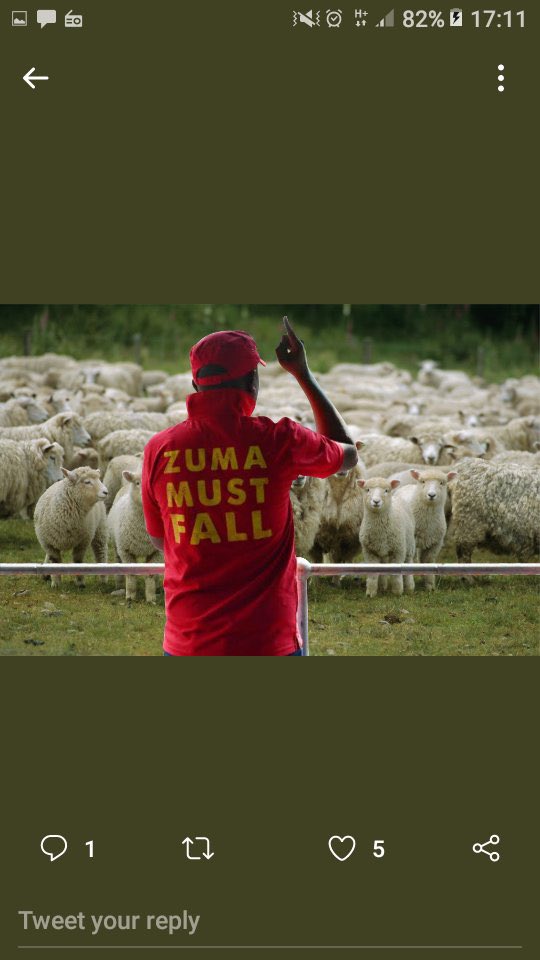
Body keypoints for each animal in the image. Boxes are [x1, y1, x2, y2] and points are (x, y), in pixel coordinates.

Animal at [108, 469, 160, 603]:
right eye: (137, 483)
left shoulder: (156, 552)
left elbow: (151, 575)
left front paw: (151, 598)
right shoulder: (126, 551)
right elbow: (130, 573)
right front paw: (130, 596)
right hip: (117, 546)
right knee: (118, 562)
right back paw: (119, 586)